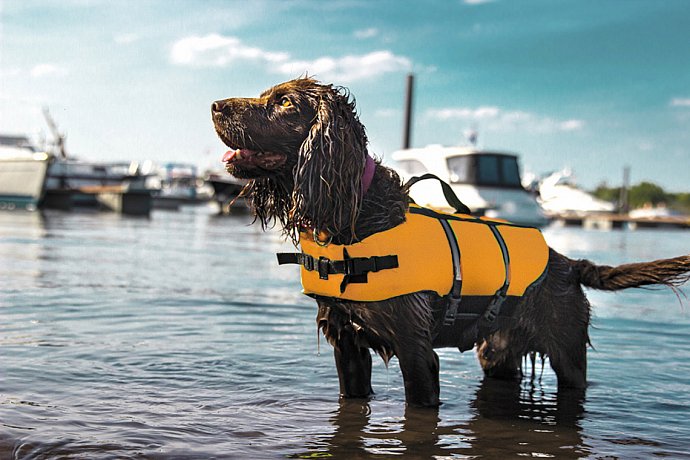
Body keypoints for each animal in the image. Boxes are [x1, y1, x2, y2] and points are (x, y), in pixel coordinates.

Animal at [211, 78, 688, 406]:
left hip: (567, 353)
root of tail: (569, 263)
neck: (353, 219)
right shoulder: (347, 345)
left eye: (284, 102)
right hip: (498, 355)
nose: (215, 105)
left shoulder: (416, 350)